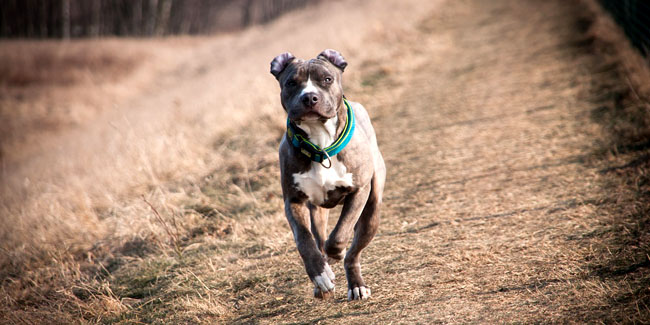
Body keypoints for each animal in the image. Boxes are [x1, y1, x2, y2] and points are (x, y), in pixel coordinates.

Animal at [270, 49, 384, 300]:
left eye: (327, 79)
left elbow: (341, 234)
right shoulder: (293, 201)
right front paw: (320, 274)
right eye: (291, 83)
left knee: (353, 253)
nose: (310, 97)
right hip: (318, 211)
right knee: (319, 238)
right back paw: (322, 280)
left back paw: (356, 285)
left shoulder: (359, 191)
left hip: (372, 211)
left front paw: (335, 255)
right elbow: (304, 241)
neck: (320, 142)